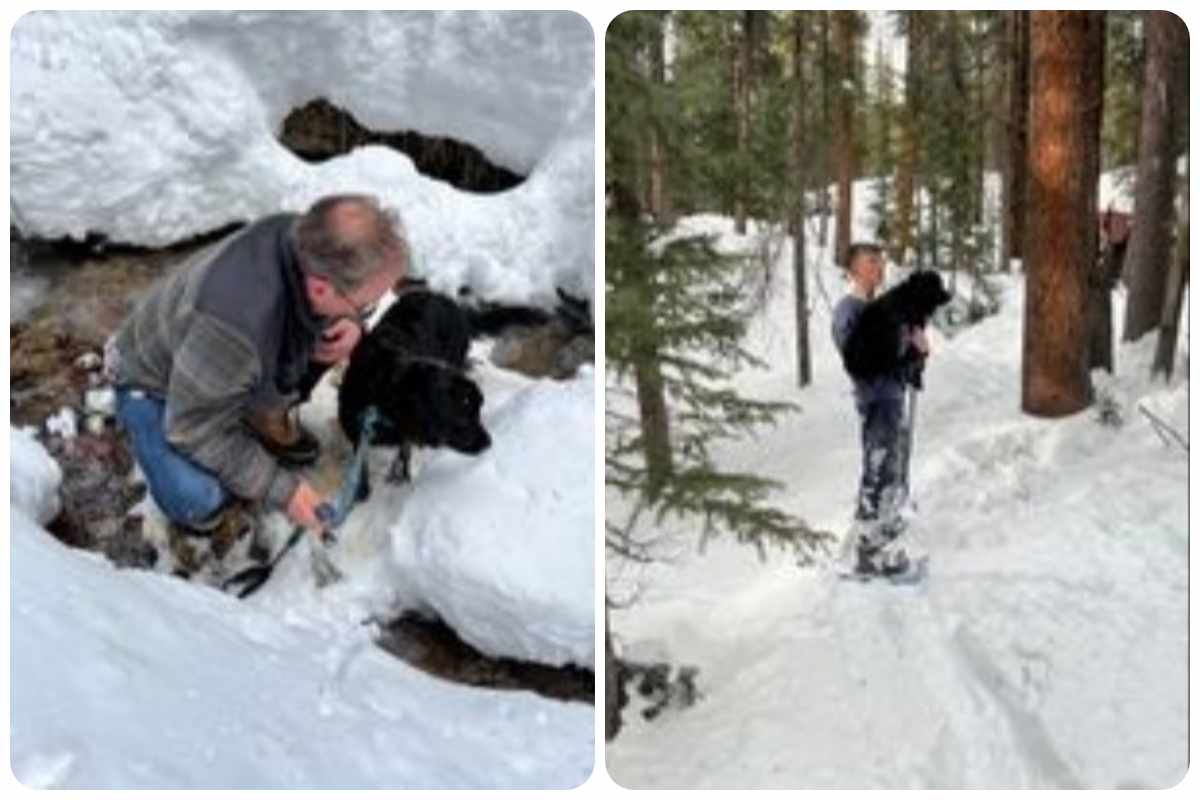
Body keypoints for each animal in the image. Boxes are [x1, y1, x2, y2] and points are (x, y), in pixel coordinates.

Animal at [338, 287, 492, 501]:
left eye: (478, 410)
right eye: (464, 414)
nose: (489, 443)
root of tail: (449, 301)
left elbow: (405, 446)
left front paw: (401, 474)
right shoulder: (354, 424)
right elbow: (361, 459)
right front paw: (360, 489)